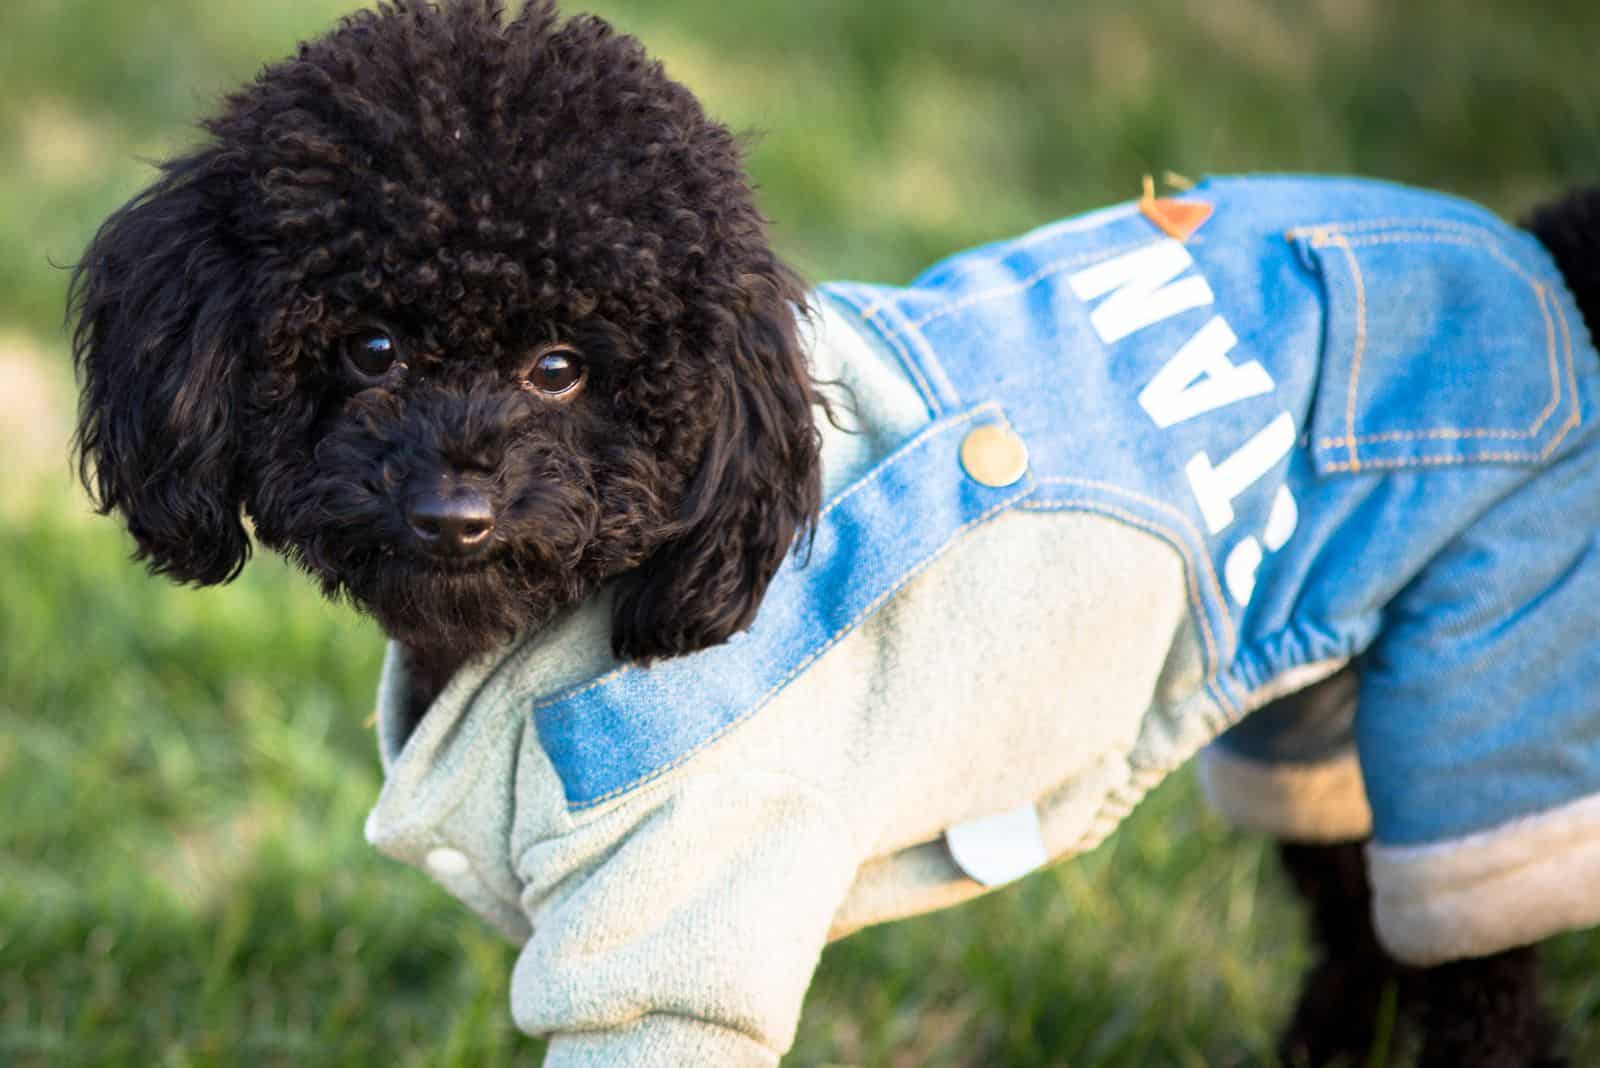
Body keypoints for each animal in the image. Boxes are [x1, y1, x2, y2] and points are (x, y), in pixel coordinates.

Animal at [68, 4, 1600, 1061]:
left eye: (563, 367)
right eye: (371, 348)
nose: (456, 513)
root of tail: (1535, 255)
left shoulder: (677, 932)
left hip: (1484, 659)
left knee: (1479, 967)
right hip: (1329, 689)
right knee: (1363, 902)